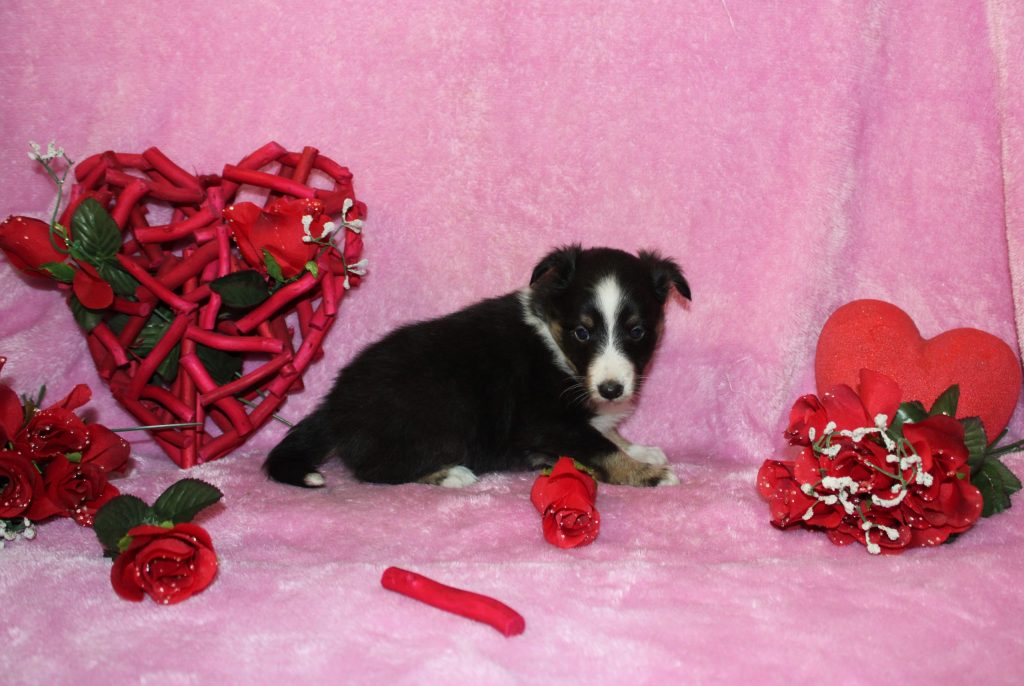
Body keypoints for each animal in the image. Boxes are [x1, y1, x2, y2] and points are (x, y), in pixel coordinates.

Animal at [264, 245, 690, 489]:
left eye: (637, 331)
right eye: (582, 333)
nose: (611, 390)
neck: (559, 349)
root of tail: (334, 406)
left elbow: (608, 436)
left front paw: (641, 451)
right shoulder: (544, 422)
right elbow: (600, 447)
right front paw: (647, 474)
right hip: (443, 410)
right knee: (376, 469)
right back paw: (449, 473)